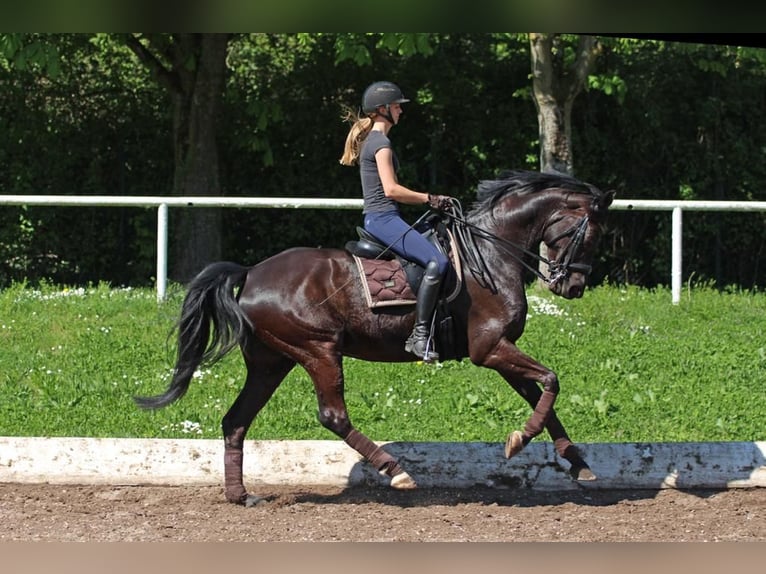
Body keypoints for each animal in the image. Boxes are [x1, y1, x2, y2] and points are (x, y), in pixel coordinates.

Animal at [135, 169, 615, 506]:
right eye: (591, 234)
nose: (573, 287)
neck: (493, 252)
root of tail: (250, 273)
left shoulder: (501, 351)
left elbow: (542, 397)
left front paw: (578, 464)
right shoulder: (489, 349)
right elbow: (551, 381)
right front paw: (519, 441)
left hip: (272, 362)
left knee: (235, 421)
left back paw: (240, 495)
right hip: (318, 350)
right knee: (332, 416)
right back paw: (395, 469)